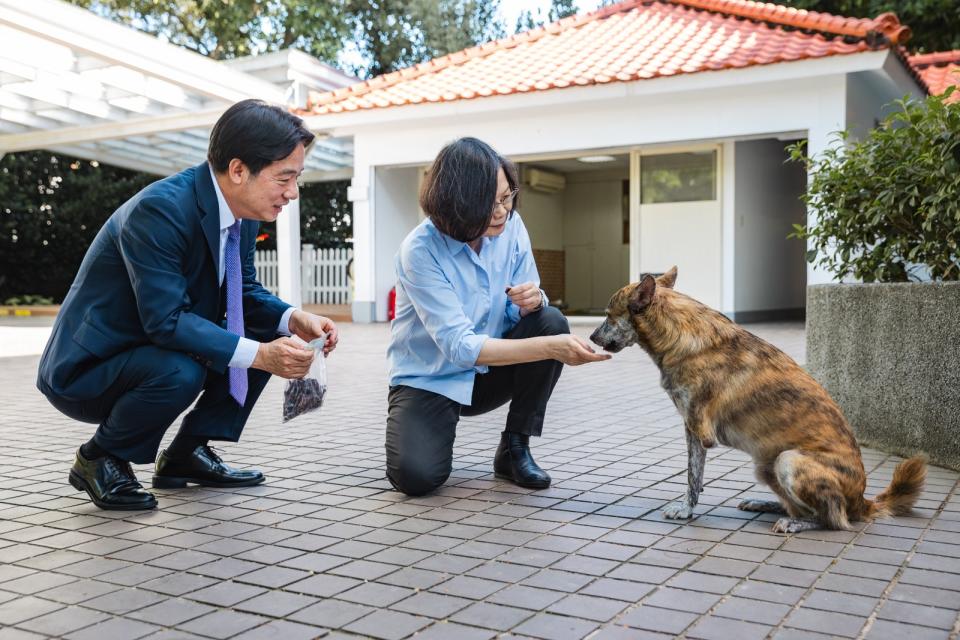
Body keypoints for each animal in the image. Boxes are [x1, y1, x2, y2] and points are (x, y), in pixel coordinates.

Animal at [588, 268, 928, 532]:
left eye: (608, 316)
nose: (591, 338)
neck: (680, 334)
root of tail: (862, 501)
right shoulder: (692, 428)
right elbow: (695, 475)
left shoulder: (697, 428)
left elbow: (691, 476)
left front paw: (685, 509)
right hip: (766, 466)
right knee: (799, 506)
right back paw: (766, 504)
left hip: (788, 460)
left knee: (832, 518)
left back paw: (796, 523)